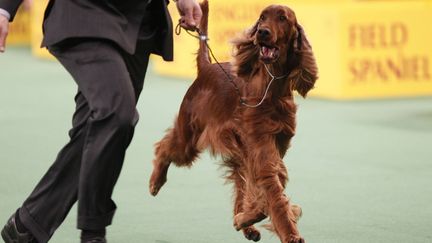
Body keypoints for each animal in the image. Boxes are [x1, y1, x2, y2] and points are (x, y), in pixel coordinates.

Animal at [148, 0, 318, 242]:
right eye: (262, 17)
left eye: (282, 18)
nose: (262, 32)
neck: (271, 90)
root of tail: (206, 67)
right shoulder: (261, 151)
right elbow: (274, 197)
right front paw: (290, 234)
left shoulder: (271, 150)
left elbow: (262, 195)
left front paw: (244, 219)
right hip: (189, 137)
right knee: (164, 147)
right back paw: (156, 182)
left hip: (235, 151)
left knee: (240, 184)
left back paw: (247, 226)